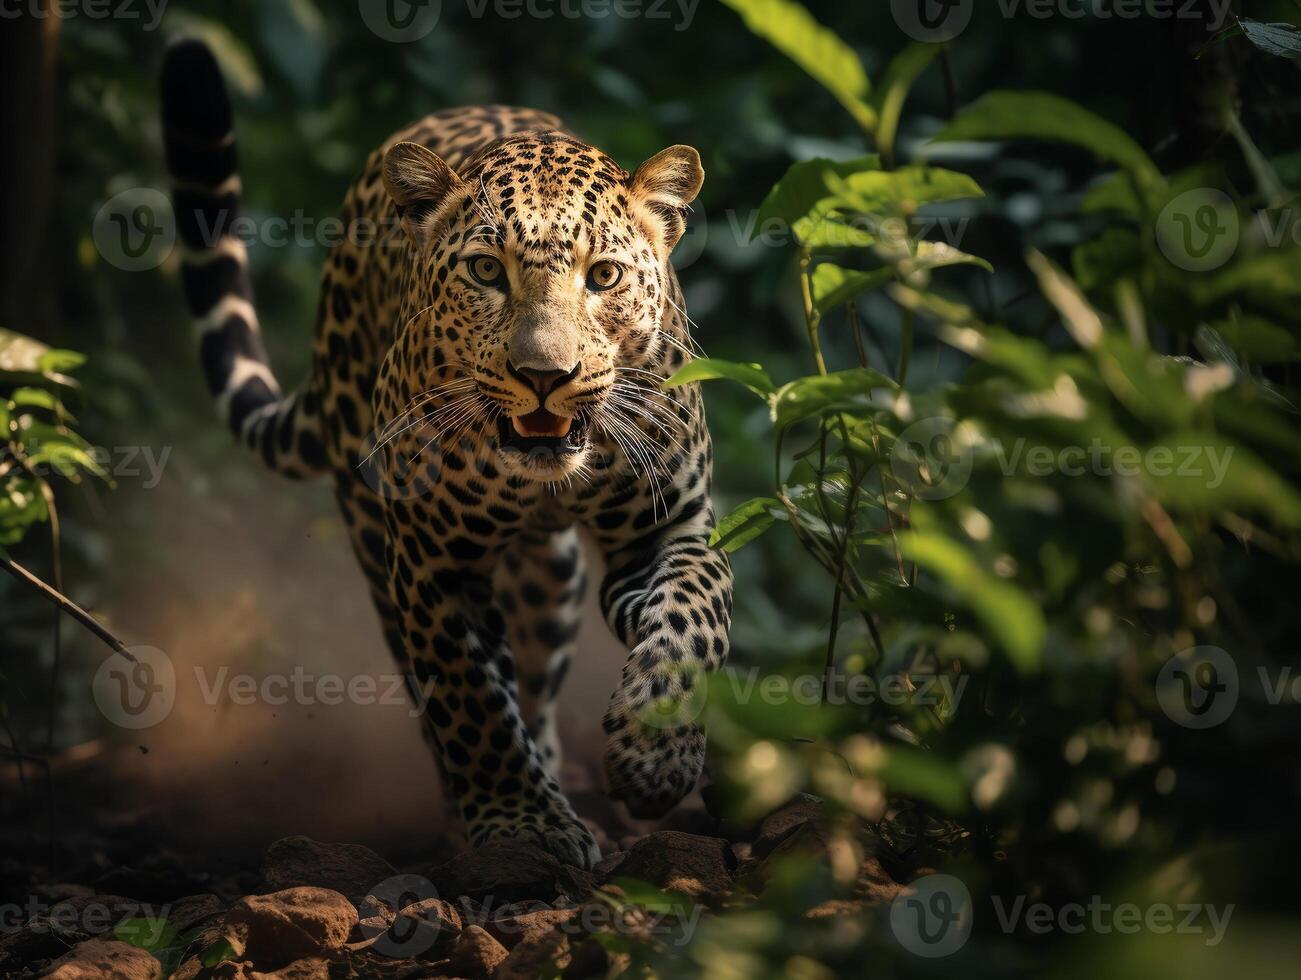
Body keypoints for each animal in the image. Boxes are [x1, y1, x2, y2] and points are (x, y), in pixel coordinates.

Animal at [157, 38, 733, 869]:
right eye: (486, 271)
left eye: (604, 276)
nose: (544, 376)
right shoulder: (433, 563)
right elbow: (470, 699)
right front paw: (520, 826)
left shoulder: (668, 527)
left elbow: (695, 612)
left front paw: (656, 755)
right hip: (375, 536)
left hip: (549, 579)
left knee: (537, 675)